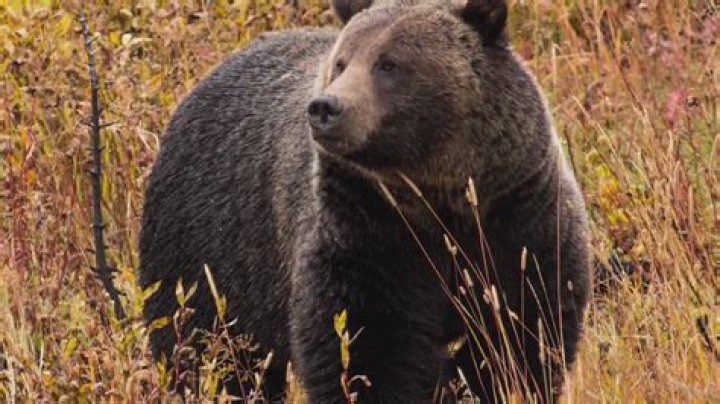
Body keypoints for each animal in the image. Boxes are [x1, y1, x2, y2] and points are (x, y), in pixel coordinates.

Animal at [137, 0, 591, 402]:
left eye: (389, 64)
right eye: (342, 62)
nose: (325, 107)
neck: (438, 199)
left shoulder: (518, 217)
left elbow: (525, 329)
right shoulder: (366, 231)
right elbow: (364, 347)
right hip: (206, 249)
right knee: (207, 351)